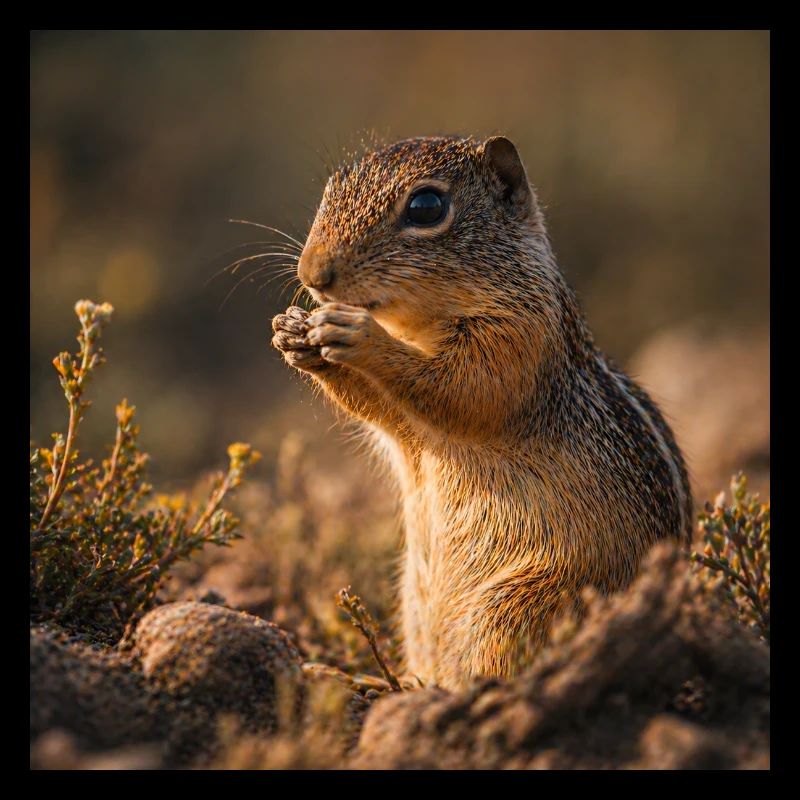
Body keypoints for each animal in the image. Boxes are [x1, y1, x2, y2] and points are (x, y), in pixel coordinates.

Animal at [271, 135, 692, 691]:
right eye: (329, 189)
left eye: (426, 207)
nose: (312, 274)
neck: (417, 323)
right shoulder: (404, 422)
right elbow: (382, 410)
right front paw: (294, 335)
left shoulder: (516, 340)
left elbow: (465, 390)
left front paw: (358, 334)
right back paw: (375, 681)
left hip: (515, 607)